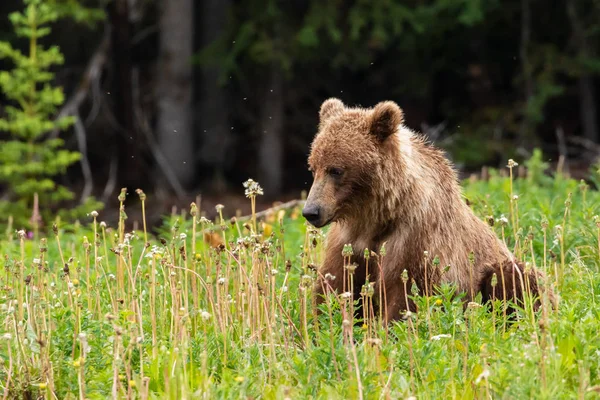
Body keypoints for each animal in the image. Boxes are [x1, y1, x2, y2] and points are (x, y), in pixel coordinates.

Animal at [302, 98, 552, 324]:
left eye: (336, 170)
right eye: (313, 168)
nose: (311, 211)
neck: (377, 215)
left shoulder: (415, 238)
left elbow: (409, 293)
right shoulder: (348, 243)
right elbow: (334, 287)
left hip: (495, 268)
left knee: (517, 278)